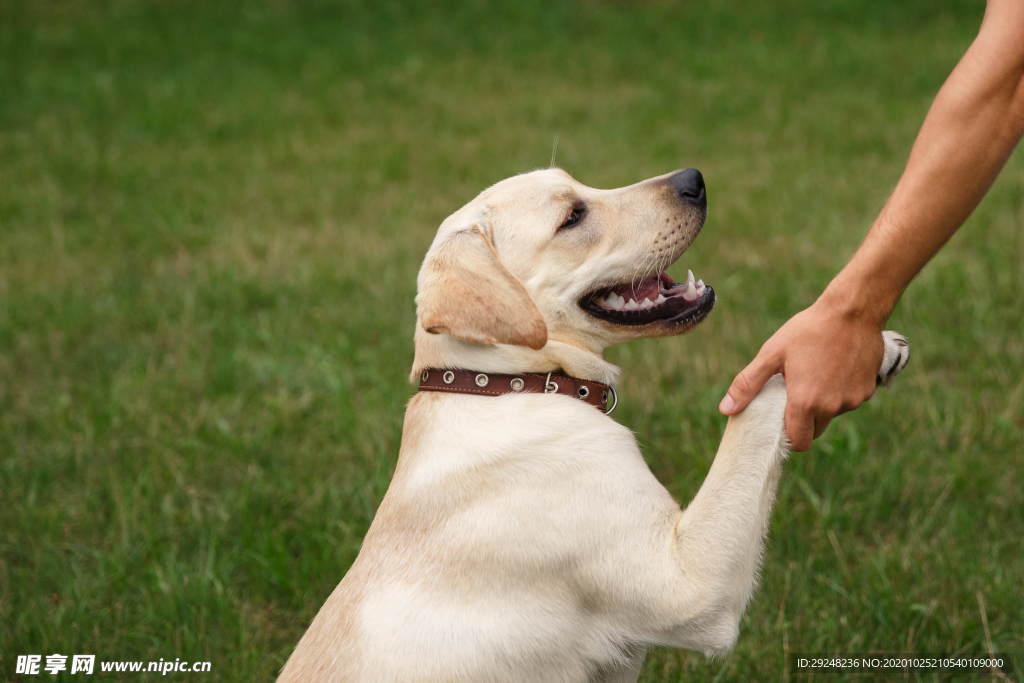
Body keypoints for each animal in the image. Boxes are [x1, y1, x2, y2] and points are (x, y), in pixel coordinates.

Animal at [276, 166, 909, 683]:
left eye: (580, 183)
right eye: (572, 216)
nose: (695, 178)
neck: (509, 383)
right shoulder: (689, 584)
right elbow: (760, 401)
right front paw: (845, 349)